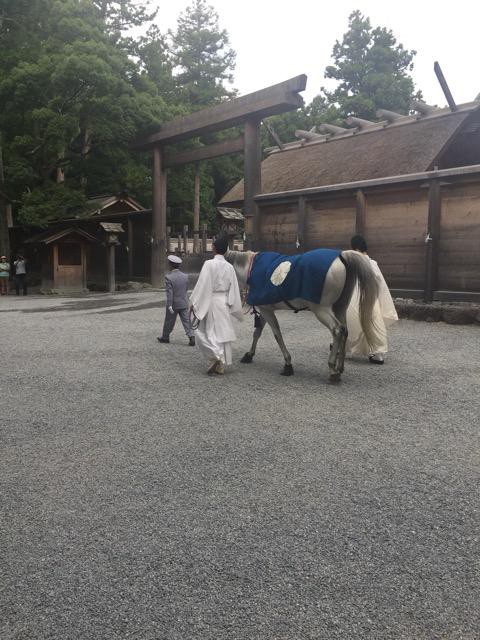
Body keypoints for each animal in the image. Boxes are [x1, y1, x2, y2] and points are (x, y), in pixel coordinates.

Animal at [227, 248, 380, 382]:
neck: (251, 269)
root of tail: (341, 256)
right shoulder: (265, 309)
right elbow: (257, 333)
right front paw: (249, 355)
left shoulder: (266, 311)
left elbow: (277, 335)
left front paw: (288, 364)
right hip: (340, 307)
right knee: (345, 331)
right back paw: (340, 367)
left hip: (321, 310)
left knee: (337, 330)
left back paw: (332, 369)